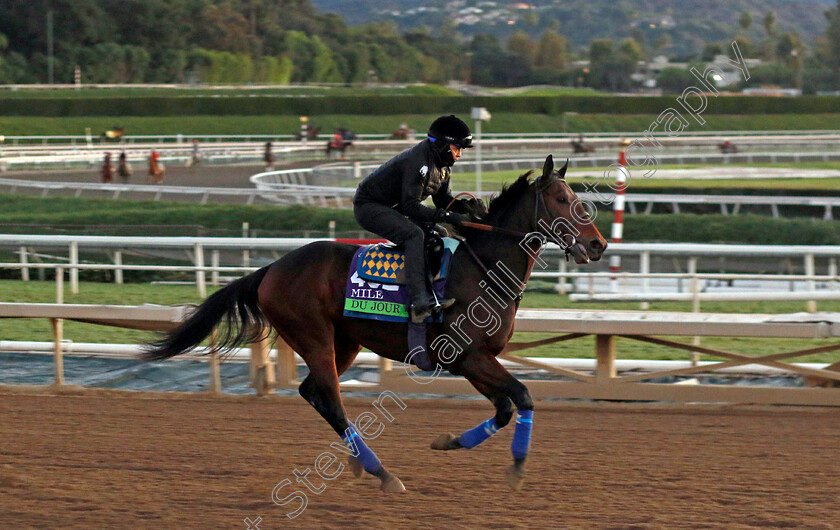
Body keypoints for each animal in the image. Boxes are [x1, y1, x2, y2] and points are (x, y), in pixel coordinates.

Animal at [144, 153, 604, 490]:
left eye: (577, 197)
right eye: (561, 199)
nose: (598, 244)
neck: (483, 267)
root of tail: (271, 269)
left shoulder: (471, 360)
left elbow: (506, 407)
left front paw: (448, 441)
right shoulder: (469, 356)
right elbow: (523, 397)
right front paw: (517, 468)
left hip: (344, 342)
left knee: (314, 393)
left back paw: (358, 463)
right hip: (313, 336)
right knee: (331, 399)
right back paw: (382, 473)